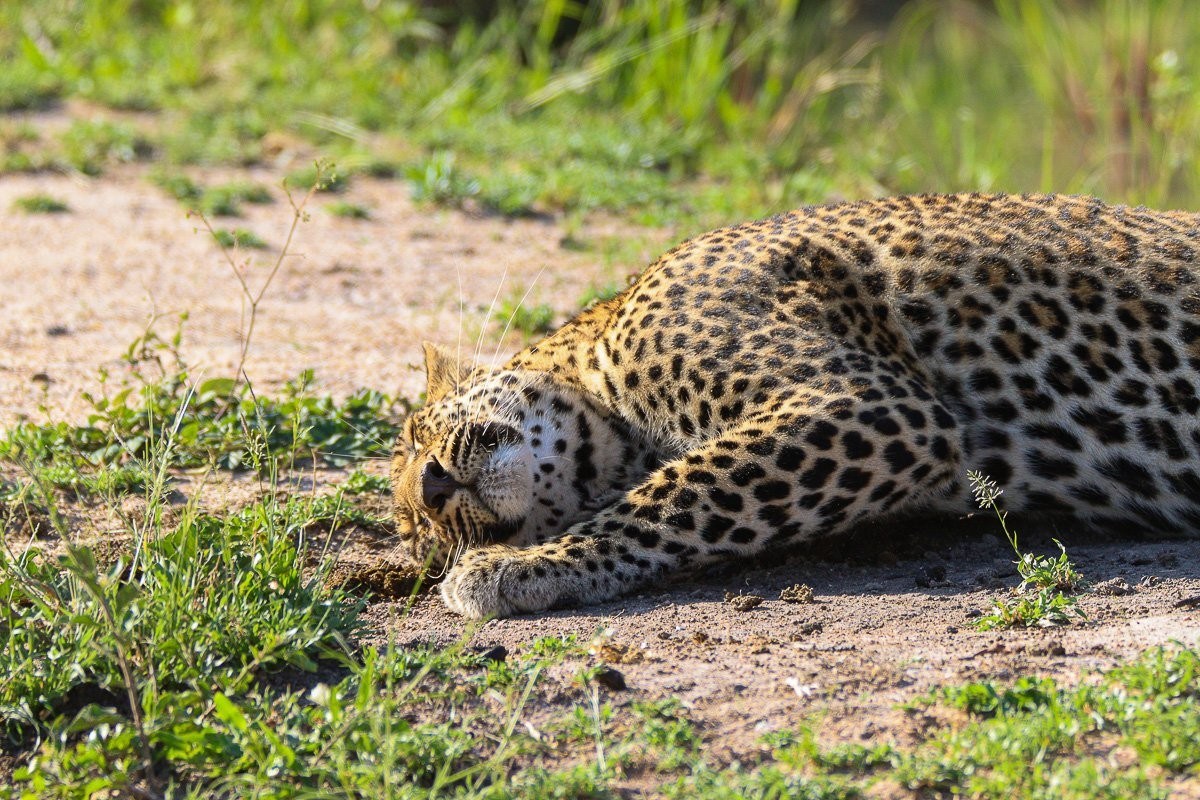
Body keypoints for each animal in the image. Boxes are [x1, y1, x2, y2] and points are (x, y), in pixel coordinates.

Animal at [391, 193, 1200, 619]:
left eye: (417, 435)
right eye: (420, 533)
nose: (430, 489)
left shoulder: (874, 405)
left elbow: (674, 493)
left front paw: (519, 566)